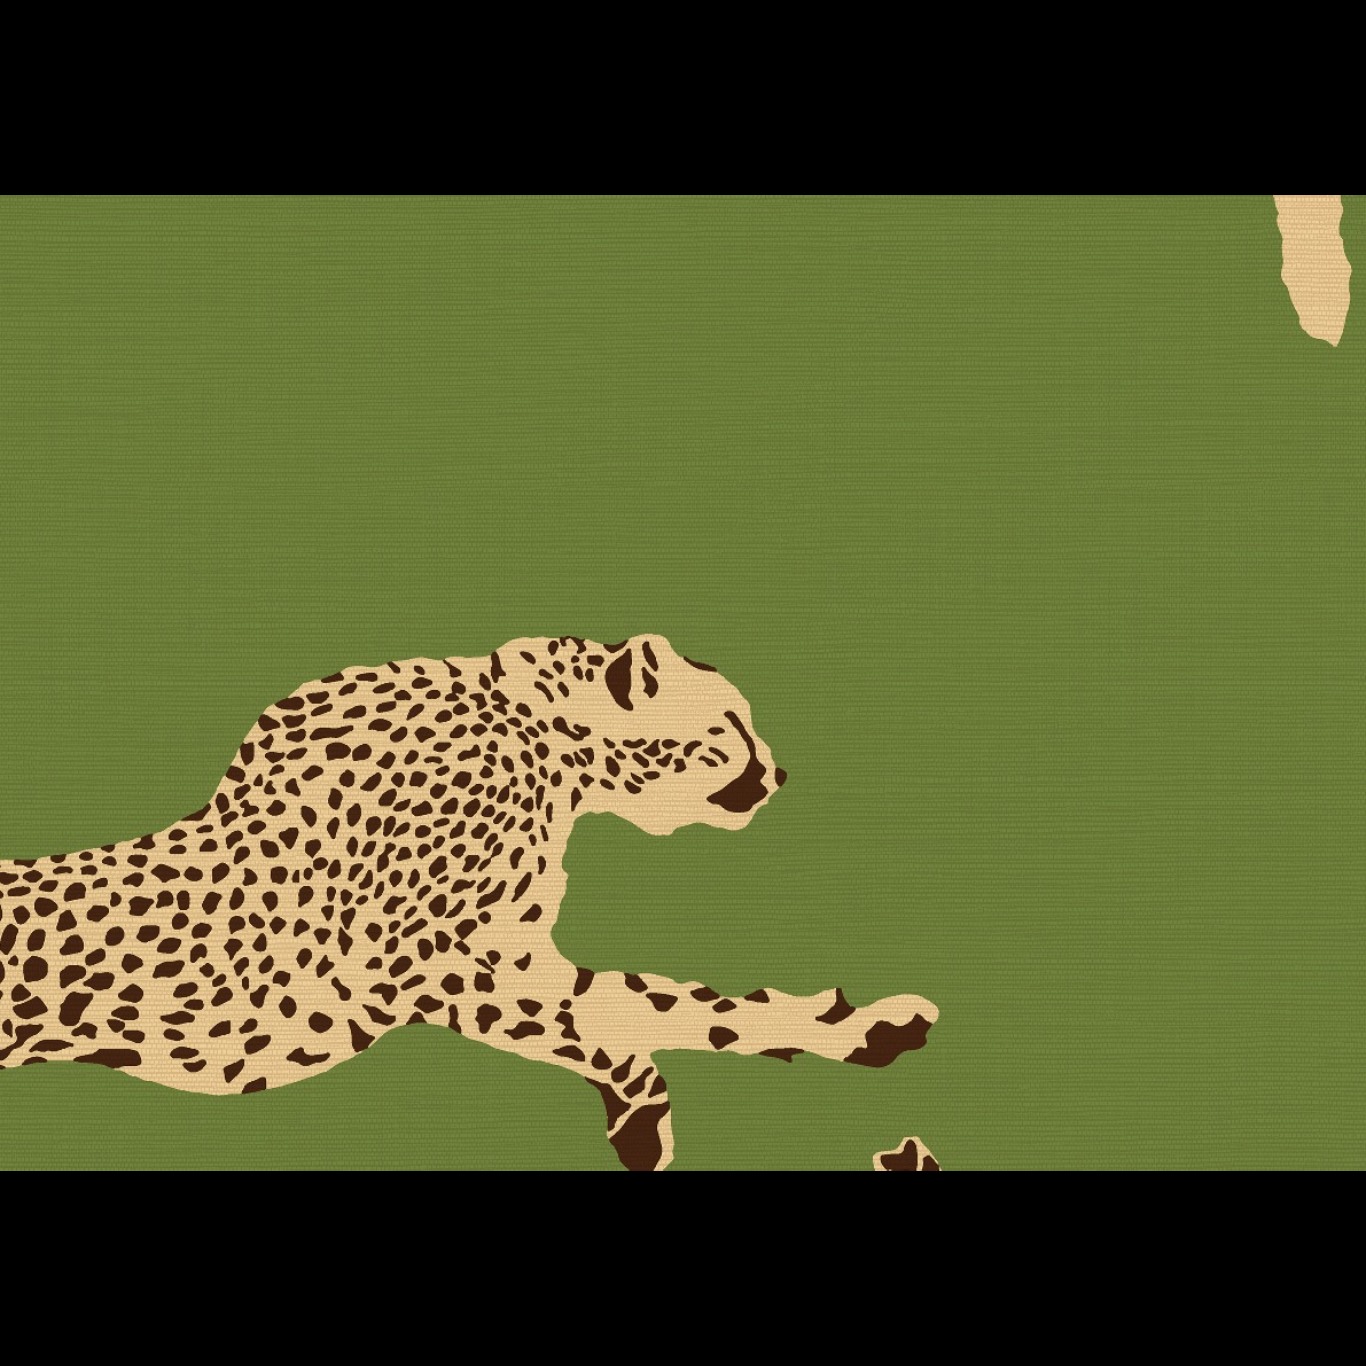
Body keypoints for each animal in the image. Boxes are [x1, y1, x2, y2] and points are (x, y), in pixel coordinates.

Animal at [0, 634, 937, 1170]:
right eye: (731, 727)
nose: (778, 775)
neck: (544, 739)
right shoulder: (436, 970)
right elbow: (660, 1007)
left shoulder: (499, 964)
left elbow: (640, 1007)